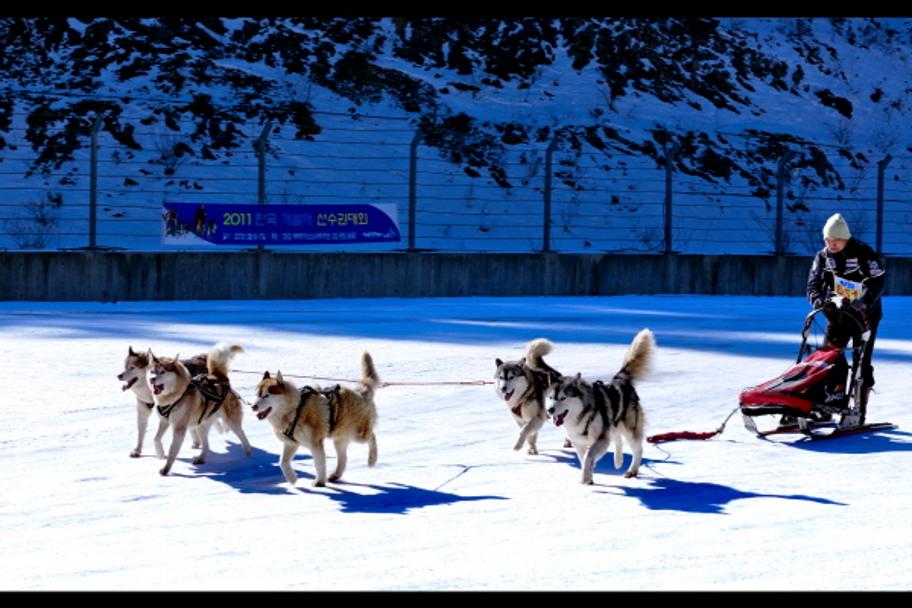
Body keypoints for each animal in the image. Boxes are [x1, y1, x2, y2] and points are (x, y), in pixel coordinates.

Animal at [148, 342, 251, 476]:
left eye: (162, 372)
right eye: (152, 371)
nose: (152, 379)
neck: (176, 395)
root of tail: (219, 377)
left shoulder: (179, 428)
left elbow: (172, 450)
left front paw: (166, 469)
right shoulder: (164, 421)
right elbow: (156, 439)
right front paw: (160, 454)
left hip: (231, 422)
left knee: (242, 435)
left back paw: (248, 454)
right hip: (201, 425)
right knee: (206, 445)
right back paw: (201, 458)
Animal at [251, 352, 380, 484]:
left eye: (267, 395)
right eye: (257, 395)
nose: (253, 406)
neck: (295, 410)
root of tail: (361, 393)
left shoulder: (315, 444)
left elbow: (319, 464)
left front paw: (319, 482)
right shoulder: (291, 443)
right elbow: (282, 462)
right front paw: (292, 478)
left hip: (358, 435)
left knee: (372, 437)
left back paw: (372, 459)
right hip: (339, 439)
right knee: (343, 458)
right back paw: (335, 475)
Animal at [544, 328, 652, 484]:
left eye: (563, 398)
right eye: (551, 397)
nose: (550, 410)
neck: (581, 415)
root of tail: (620, 380)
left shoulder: (601, 439)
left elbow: (588, 456)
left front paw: (585, 477)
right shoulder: (579, 442)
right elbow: (583, 458)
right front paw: (588, 476)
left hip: (630, 429)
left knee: (638, 450)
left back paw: (632, 470)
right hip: (614, 425)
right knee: (618, 440)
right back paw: (618, 461)